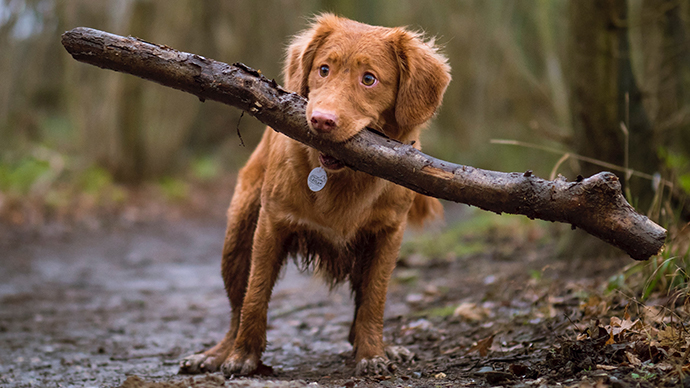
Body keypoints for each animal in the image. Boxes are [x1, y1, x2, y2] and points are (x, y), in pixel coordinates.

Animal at [177, 14, 448, 376]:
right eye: (323, 69)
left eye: (369, 79)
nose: (321, 120)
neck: (343, 178)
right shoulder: (271, 223)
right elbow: (255, 295)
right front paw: (244, 356)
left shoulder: (388, 234)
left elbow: (374, 299)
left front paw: (372, 353)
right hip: (237, 238)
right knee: (236, 306)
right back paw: (218, 353)